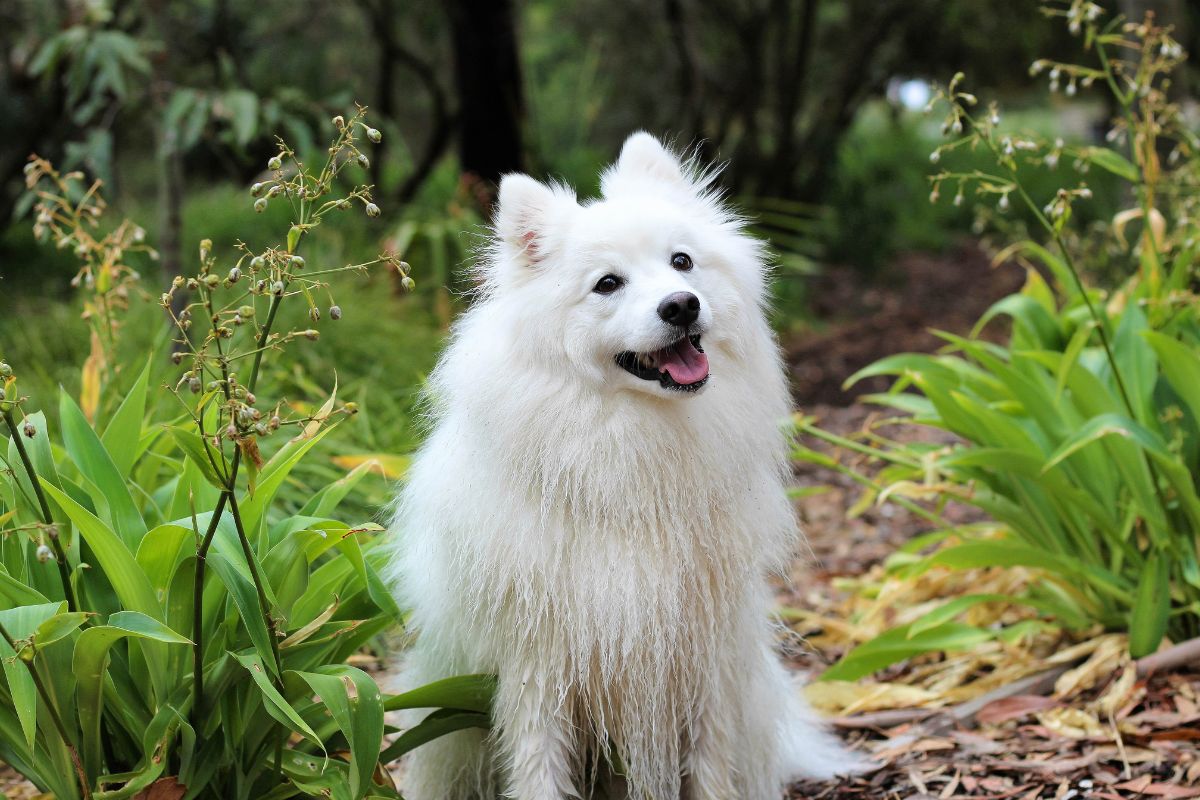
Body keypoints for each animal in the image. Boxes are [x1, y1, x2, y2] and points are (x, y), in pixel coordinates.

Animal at [388, 134, 859, 796]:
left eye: (682, 262)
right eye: (607, 283)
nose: (682, 305)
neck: (636, 449)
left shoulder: (701, 658)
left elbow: (709, 768)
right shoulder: (541, 666)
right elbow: (539, 770)